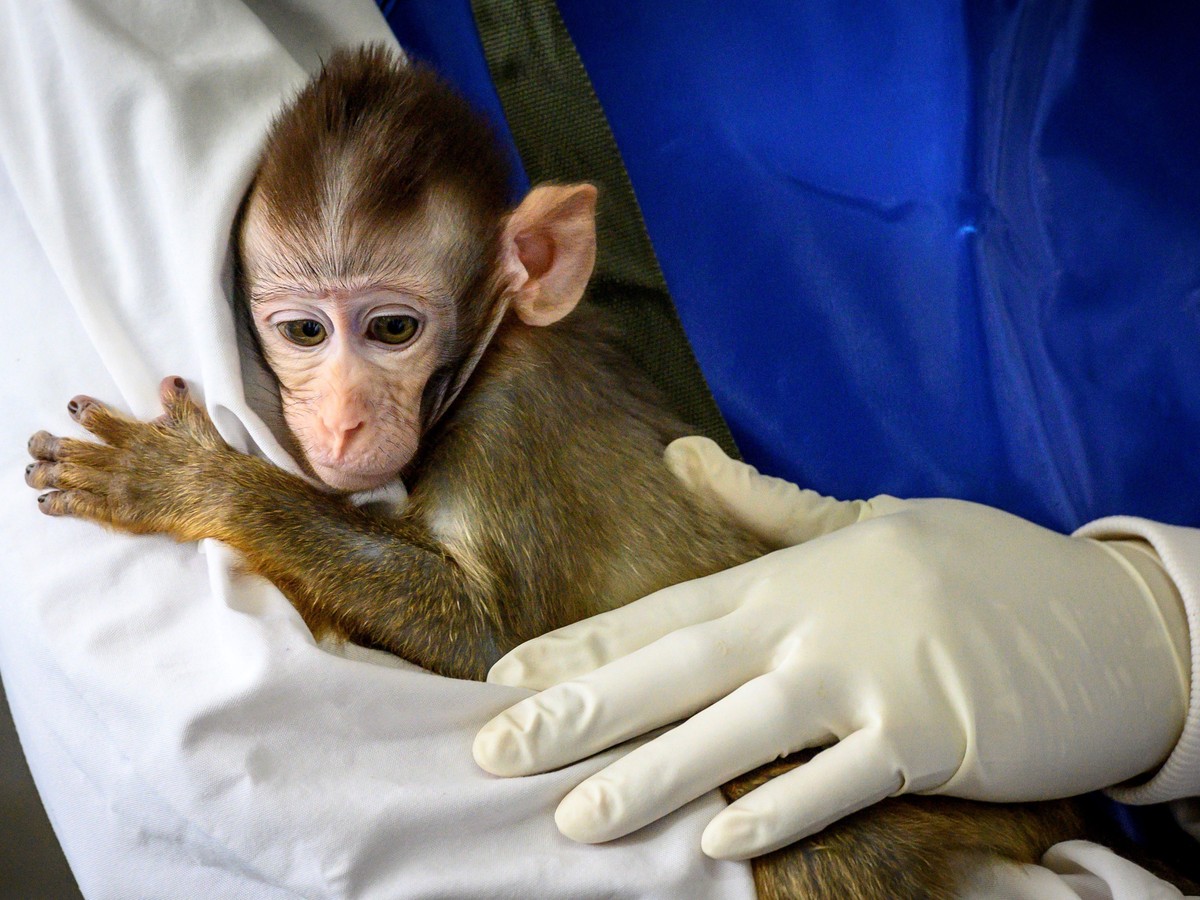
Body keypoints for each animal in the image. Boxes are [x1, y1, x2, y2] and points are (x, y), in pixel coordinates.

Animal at [24, 46, 1196, 900]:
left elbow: (496, 641)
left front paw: (189, 483)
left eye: (393, 329)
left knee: (819, 849)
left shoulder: (509, 429)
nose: (347, 416)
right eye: (305, 330)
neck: (491, 352)